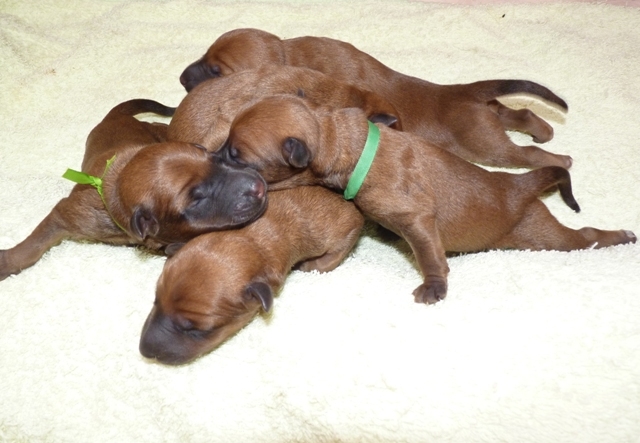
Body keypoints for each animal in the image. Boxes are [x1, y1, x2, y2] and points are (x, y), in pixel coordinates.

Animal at [0, 99, 267, 280]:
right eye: (196, 199)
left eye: (214, 158)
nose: (260, 187)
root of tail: (114, 117)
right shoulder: (70, 213)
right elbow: (35, 243)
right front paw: (8, 261)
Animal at [139, 186, 364, 365]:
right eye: (155, 300)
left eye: (200, 331)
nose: (144, 351)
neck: (250, 238)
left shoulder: (346, 227)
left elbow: (334, 254)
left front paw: (312, 265)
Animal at [217, 94, 637, 304]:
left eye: (237, 154)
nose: (212, 158)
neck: (352, 145)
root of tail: (518, 186)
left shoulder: (417, 219)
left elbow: (430, 256)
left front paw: (435, 287)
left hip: (541, 235)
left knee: (583, 237)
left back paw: (620, 237)